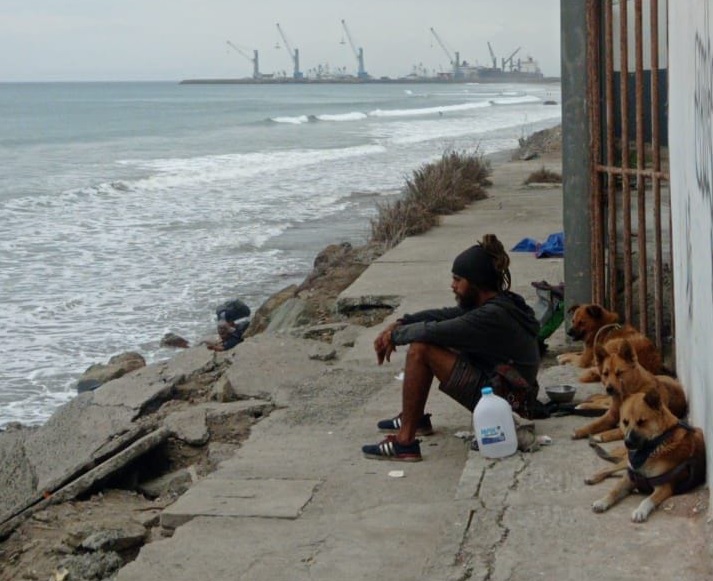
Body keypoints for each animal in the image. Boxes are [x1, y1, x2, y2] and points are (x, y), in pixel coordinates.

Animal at [588, 390, 708, 520]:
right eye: (625, 422)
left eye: (641, 422)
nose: (627, 443)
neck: (655, 446)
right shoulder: (629, 478)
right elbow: (614, 490)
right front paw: (602, 501)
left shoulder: (664, 487)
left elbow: (647, 500)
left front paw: (640, 511)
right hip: (625, 463)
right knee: (609, 468)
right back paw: (593, 477)